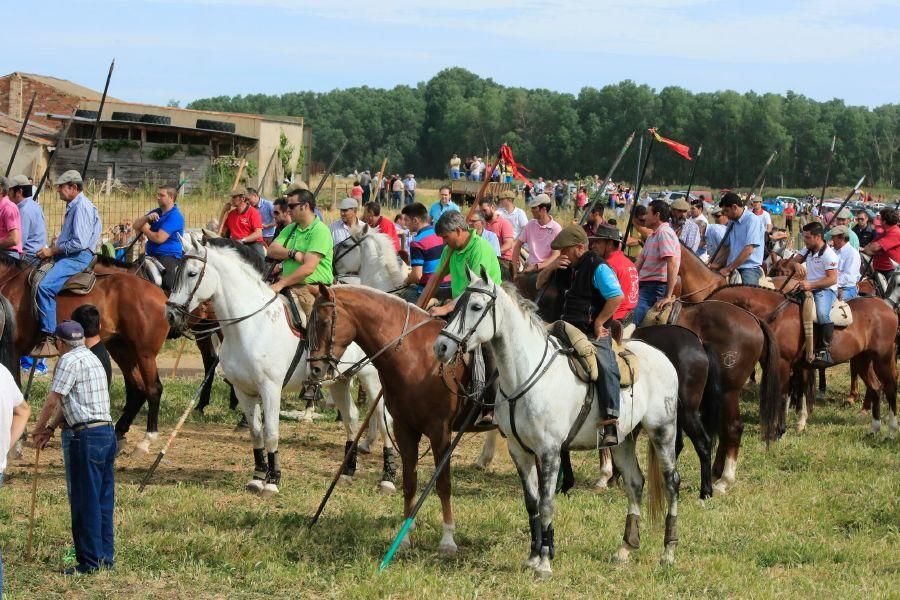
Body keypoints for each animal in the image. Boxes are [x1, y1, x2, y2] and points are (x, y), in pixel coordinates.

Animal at [0, 251, 169, 448]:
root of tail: (161, 295)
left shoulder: (11, 349)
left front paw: (18, 437)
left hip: (144, 353)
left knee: (153, 389)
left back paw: (146, 440)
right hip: (121, 349)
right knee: (138, 388)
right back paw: (119, 433)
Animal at [165, 233, 398, 492]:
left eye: (192, 273)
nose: (171, 315)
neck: (250, 325)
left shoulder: (270, 388)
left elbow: (271, 433)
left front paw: (273, 480)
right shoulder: (243, 390)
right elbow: (256, 433)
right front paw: (257, 476)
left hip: (371, 378)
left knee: (384, 420)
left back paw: (388, 477)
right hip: (339, 380)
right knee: (351, 417)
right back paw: (348, 471)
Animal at [432, 270, 680, 576]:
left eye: (477, 307)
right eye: (456, 304)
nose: (441, 347)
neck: (525, 377)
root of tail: (661, 356)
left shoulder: (549, 452)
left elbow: (547, 503)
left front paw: (545, 564)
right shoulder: (520, 452)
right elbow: (532, 503)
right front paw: (533, 555)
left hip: (663, 431)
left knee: (671, 483)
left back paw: (668, 552)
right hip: (623, 440)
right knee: (635, 483)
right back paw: (624, 548)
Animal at [712, 286, 896, 440]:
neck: (776, 315)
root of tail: (886, 307)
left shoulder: (783, 363)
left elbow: (783, 394)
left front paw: (778, 431)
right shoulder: (794, 366)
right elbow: (799, 392)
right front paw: (796, 425)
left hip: (883, 358)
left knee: (890, 388)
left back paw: (891, 432)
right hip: (862, 360)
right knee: (876, 387)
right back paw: (874, 429)